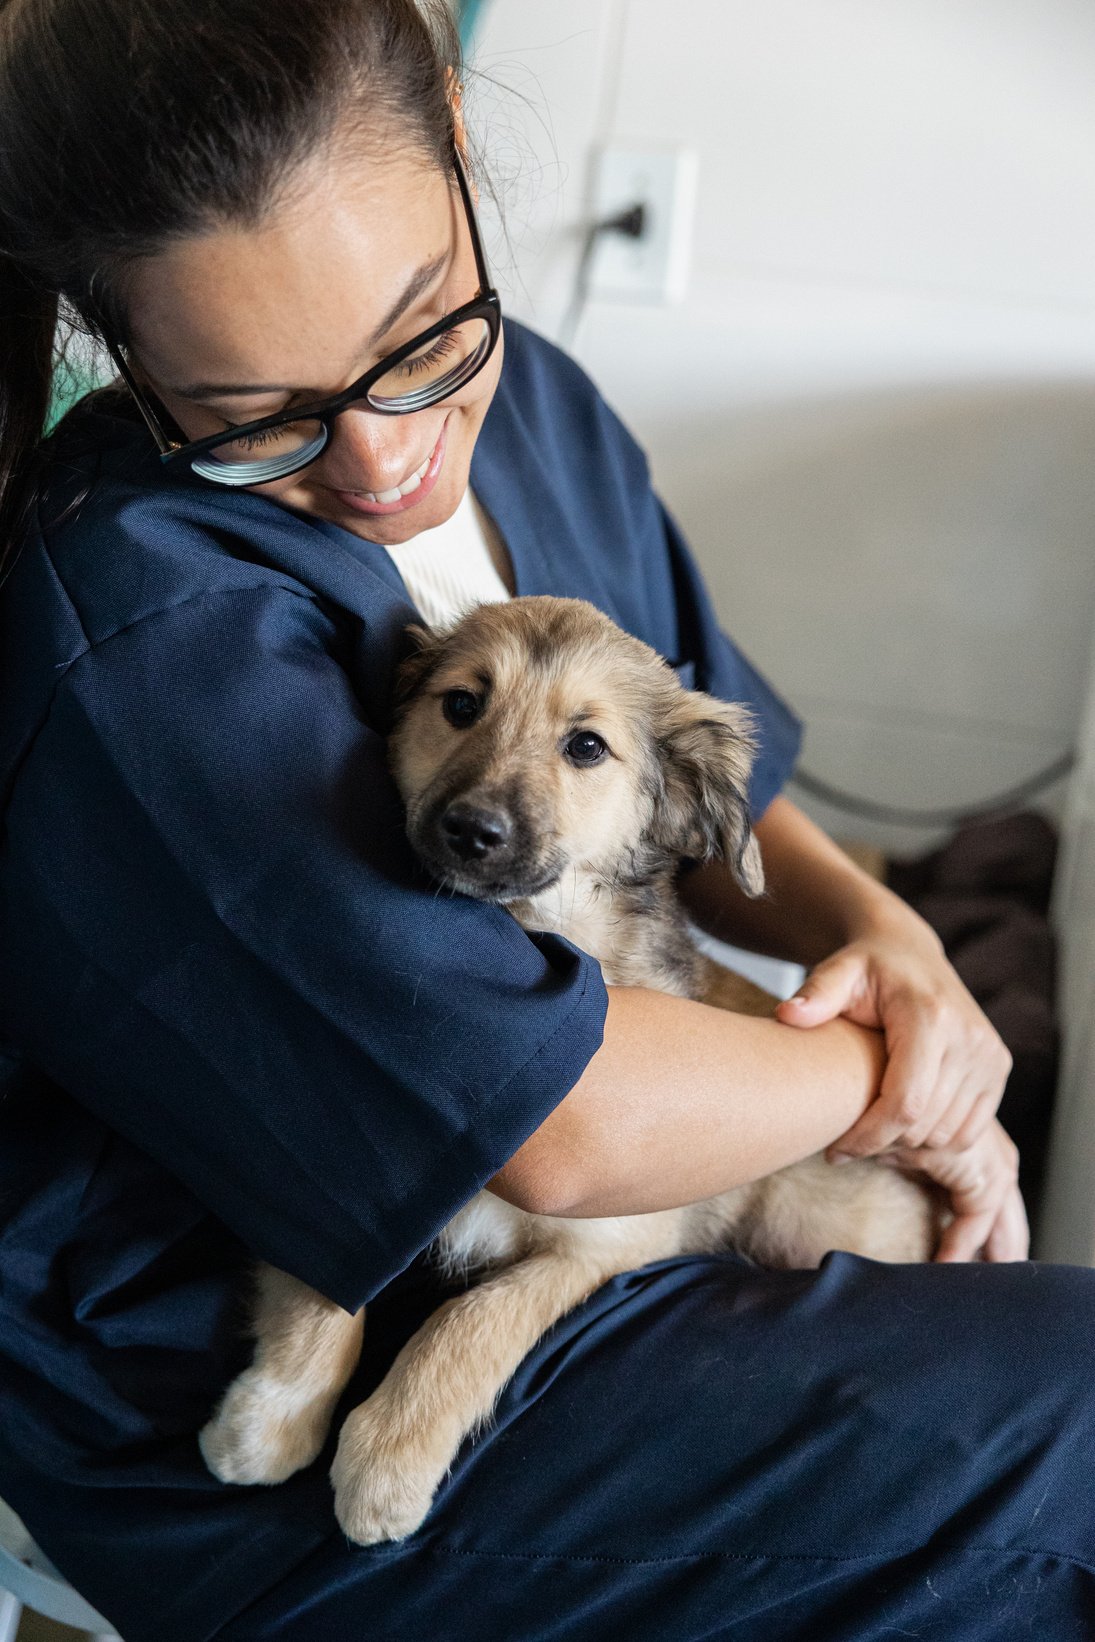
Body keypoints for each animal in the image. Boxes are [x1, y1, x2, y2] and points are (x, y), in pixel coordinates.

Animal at [201, 597, 939, 1543]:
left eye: (586, 746)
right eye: (461, 704)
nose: (470, 831)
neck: (537, 926)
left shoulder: (609, 1240)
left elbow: (469, 1319)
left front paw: (388, 1458)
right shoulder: (336, 1180)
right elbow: (319, 1293)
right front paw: (271, 1416)